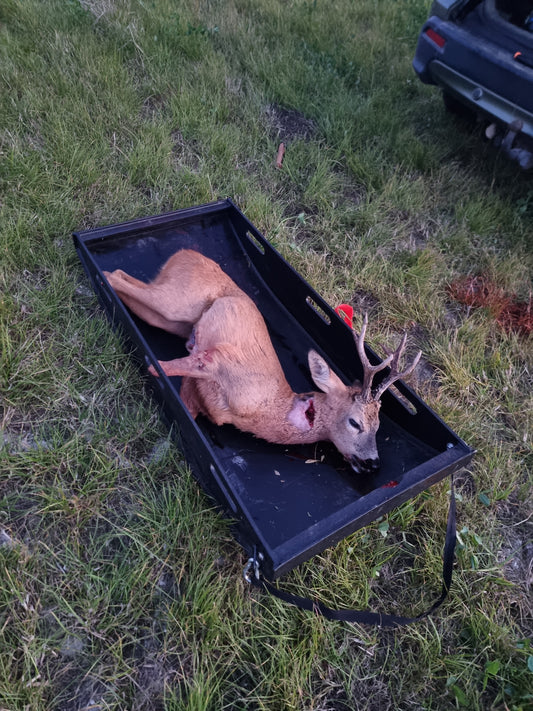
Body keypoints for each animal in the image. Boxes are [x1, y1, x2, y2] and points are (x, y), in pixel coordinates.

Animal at [103, 249, 421, 474]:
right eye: (355, 422)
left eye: (378, 427)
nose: (373, 464)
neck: (265, 409)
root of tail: (184, 253)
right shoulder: (216, 359)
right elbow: (160, 367)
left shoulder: (198, 391)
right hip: (177, 301)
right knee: (113, 274)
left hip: (172, 318)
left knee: (123, 280)